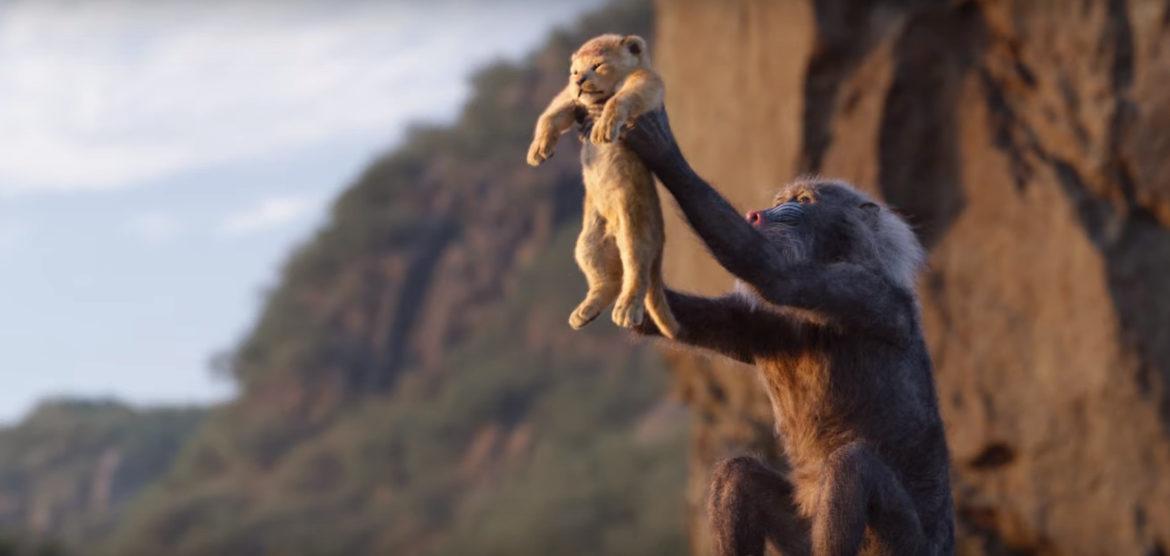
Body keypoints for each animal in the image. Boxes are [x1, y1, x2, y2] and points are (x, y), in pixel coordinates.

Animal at [526, 33, 679, 338]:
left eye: (597, 65)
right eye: (574, 71)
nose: (579, 80)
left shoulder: (648, 83)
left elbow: (621, 99)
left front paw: (604, 128)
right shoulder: (570, 99)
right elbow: (550, 114)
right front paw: (537, 151)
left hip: (636, 228)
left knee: (635, 271)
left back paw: (626, 310)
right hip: (589, 240)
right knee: (610, 280)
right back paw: (584, 312)